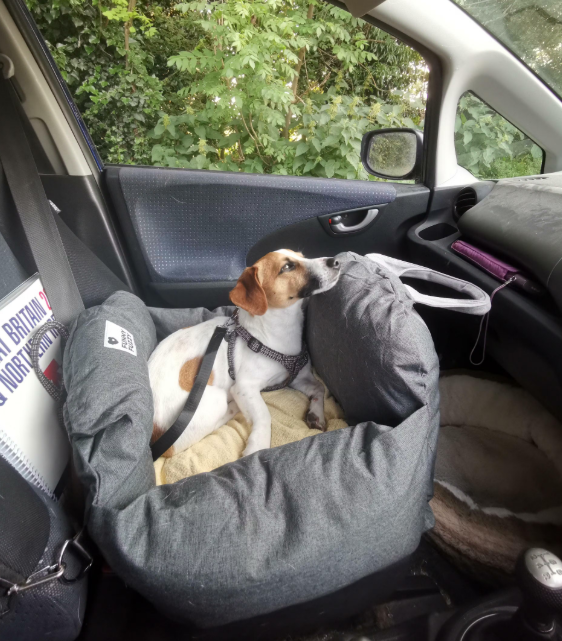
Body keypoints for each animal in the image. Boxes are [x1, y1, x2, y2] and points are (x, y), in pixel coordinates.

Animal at [148, 250, 341, 458]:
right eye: (287, 267)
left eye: (302, 256)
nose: (336, 261)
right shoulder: (244, 387)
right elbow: (264, 414)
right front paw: (258, 445)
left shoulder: (296, 378)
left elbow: (319, 388)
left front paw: (316, 415)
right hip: (214, 401)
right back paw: (233, 408)